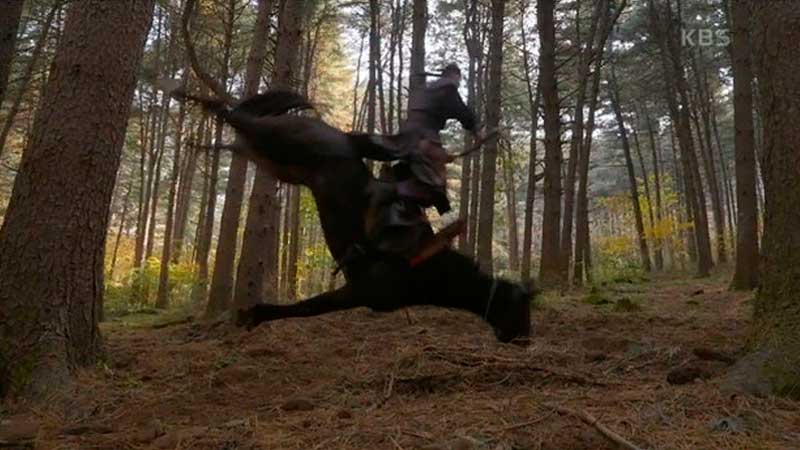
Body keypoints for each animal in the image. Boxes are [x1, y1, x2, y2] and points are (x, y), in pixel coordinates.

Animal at [178, 89, 533, 344]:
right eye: (520, 307)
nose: (525, 339)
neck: (426, 268)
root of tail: (336, 133)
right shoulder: (361, 290)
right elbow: (307, 307)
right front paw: (252, 314)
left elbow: (307, 308)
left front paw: (252, 315)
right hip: (275, 141)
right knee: (238, 116)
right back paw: (192, 99)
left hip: (277, 162)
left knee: (241, 130)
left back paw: (203, 135)